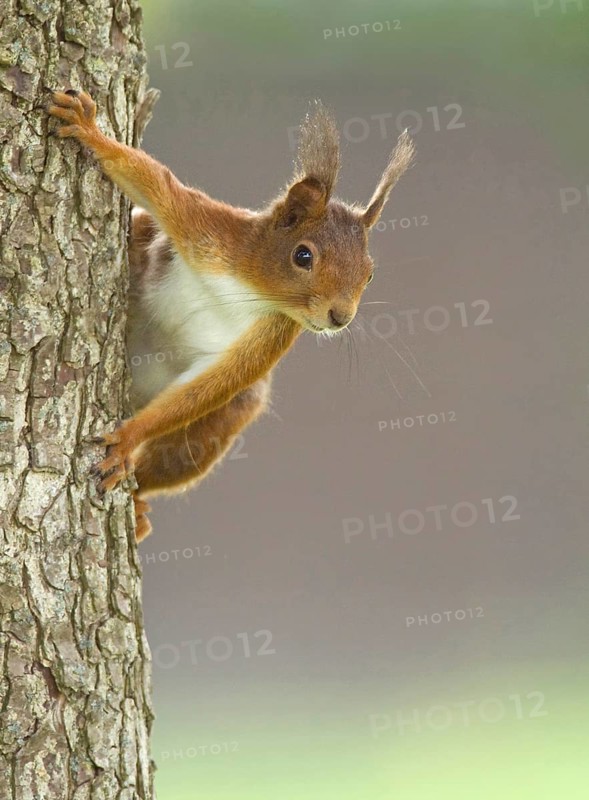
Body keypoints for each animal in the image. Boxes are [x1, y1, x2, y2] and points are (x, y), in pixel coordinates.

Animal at [48, 89, 415, 541]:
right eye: (303, 256)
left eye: (370, 273)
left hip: (226, 418)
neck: (248, 289)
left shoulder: (273, 333)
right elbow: (155, 184)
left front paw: (128, 439)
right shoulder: (210, 233)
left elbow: (215, 383)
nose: (340, 317)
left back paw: (138, 505)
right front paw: (90, 131)